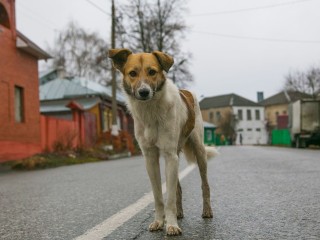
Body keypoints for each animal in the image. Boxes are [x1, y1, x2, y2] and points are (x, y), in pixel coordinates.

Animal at [108, 48, 218, 236]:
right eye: (132, 73)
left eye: (152, 72)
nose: (144, 92)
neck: (150, 111)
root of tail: (186, 91)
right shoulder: (151, 158)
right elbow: (159, 196)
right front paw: (160, 221)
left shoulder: (169, 155)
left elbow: (170, 198)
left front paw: (171, 225)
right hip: (175, 157)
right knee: (178, 188)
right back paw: (179, 213)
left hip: (199, 152)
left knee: (205, 185)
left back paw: (207, 211)